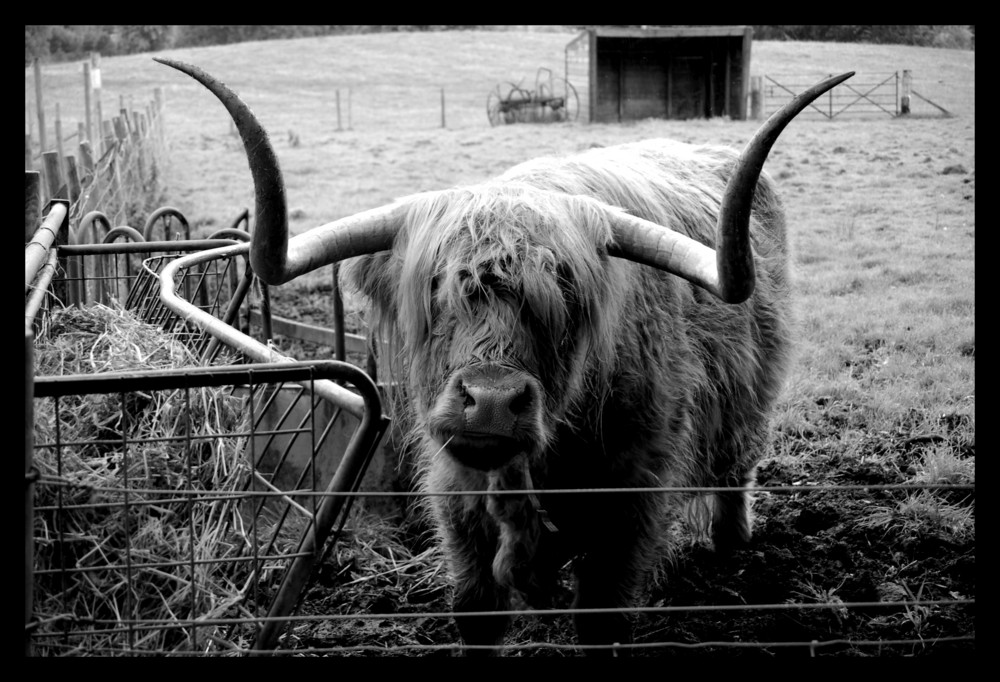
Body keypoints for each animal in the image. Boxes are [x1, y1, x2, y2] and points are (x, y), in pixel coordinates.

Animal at [158, 59, 852, 652]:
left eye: (564, 294)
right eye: (436, 286)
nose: (490, 402)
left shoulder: (631, 497)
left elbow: (601, 618)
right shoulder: (457, 498)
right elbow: (477, 611)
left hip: (750, 403)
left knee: (736, 468)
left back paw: (731, 547)